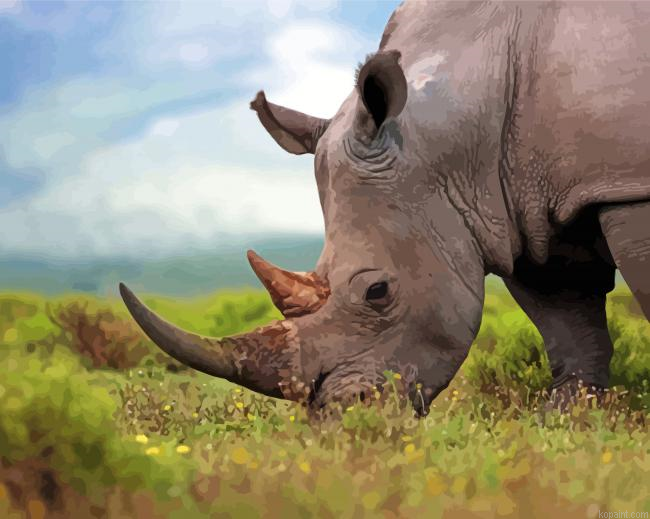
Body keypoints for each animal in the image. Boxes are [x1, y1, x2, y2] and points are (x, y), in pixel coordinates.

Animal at [120, 1, 650, 415]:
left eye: (378, 291)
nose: (342, 416)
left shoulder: (626, 182)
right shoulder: (514, 209)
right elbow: (568, 323)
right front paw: (568, 416)